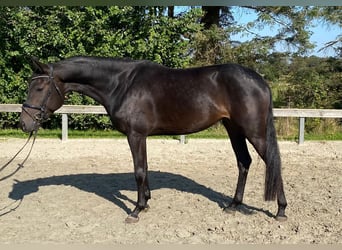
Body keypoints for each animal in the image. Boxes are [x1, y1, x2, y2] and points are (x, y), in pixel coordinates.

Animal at [18, 56, 286, 223]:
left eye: (39, 88)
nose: (25, 123)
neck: (121, 83)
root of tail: (260, 81)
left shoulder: (135, 135)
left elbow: (138, 171)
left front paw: (135, 210)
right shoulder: (141, 136)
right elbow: (144, 169)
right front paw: (145, 203)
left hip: (254, 132)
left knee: (273, 164)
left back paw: (281, 210)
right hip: (234, 129)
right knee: (243, 162)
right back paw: (233, 205)